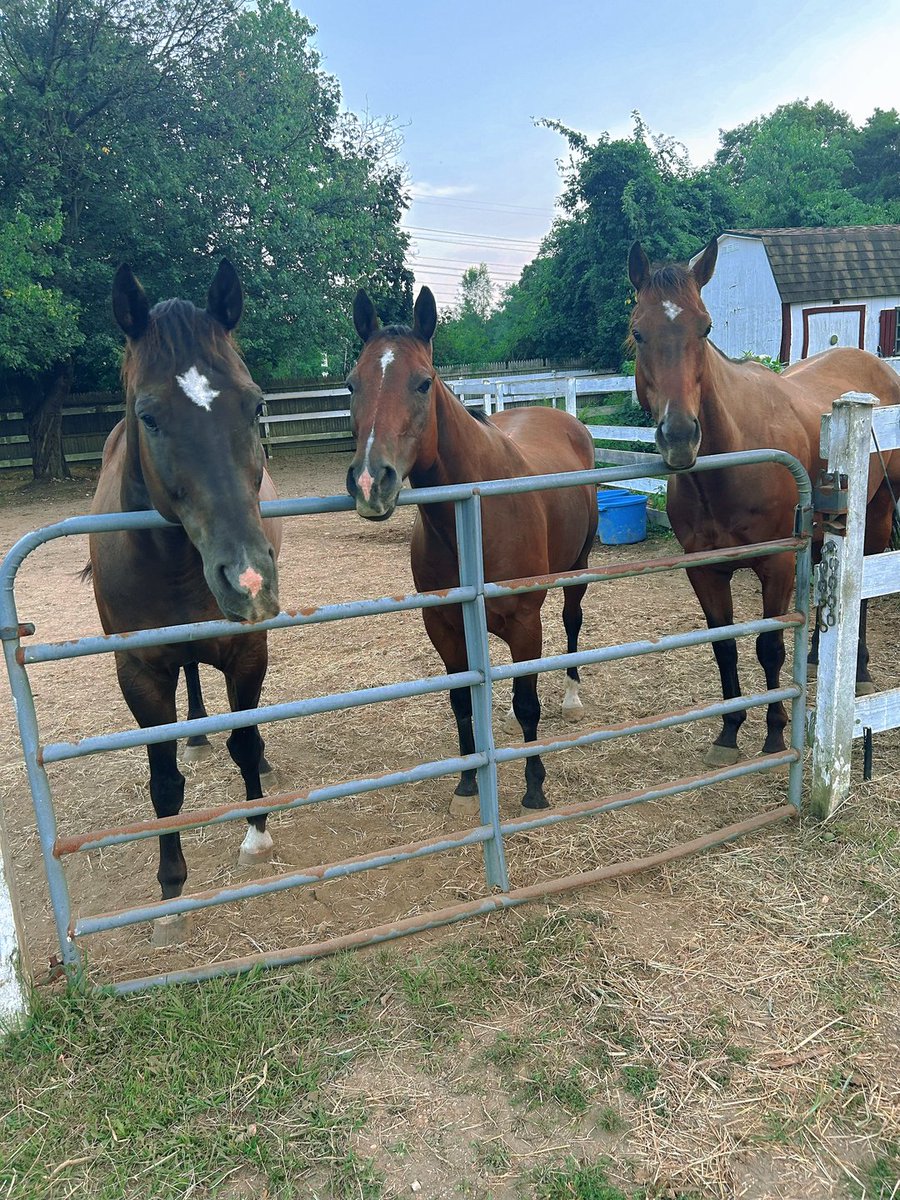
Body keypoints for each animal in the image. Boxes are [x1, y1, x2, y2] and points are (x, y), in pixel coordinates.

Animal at [87, 260, 282, 945]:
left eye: (256, 406)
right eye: (149, 416)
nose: (249, 580)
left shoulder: (249, 650)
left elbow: (245, 741)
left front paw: (257, 836)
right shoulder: (140, 673)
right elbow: (164, 783)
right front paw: (170, 893)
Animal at [344, 287, 598, 812]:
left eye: (423, 383)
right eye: (352, 384)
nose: (369, 483)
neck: (476, 515)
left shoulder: (525, 622)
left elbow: (527, 703)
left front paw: (535, 787)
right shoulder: (444, 625)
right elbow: (461, 699)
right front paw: (467, 784)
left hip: (577, 570)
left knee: (572, 623)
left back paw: (572, 697)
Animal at [627, 237, 900, 766]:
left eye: (705, 328)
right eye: (638, 332)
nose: (680, 437)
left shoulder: (775, 565)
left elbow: (769, 647)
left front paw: (775, 732)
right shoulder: (705, 569)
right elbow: (725, 649)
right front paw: (729, 732)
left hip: (874, 515)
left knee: (861, 587)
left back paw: (856, 671)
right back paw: (815, 655)